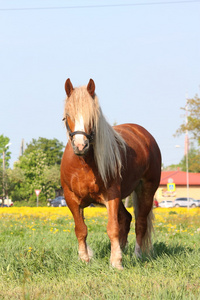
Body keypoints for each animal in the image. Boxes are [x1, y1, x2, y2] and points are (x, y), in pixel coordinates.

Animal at [60, 78, 161, 270]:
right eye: (67, 115)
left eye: (93, 117)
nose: (80, 145)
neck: (83, 164)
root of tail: (143, 134)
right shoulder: (71, 199)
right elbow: (81, 229)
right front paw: (85, 259)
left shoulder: (112, 195)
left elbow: (112, 228)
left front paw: (116, 262)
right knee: (126, 218)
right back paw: (122, 249)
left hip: (146, 189)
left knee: (140, 223)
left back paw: (136, 255)